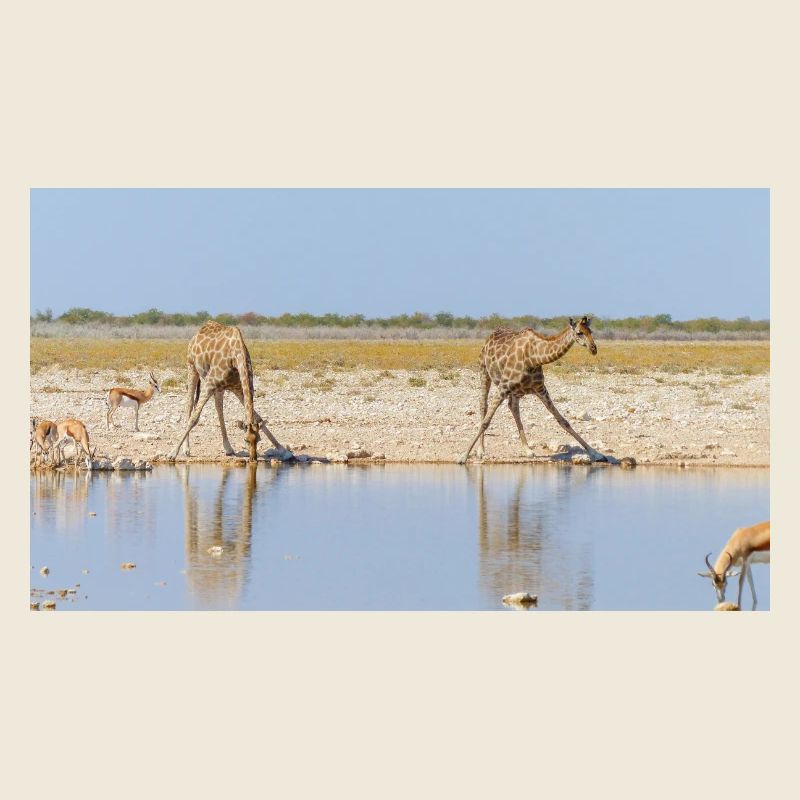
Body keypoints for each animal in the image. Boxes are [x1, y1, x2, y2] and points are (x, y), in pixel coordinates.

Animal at [167, 321, 286, 462]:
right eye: (245, 440)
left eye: (258, 440)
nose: (253, 459)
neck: (236, 356)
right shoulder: (209, 383)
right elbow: (194, 418)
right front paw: (172, 453)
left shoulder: (238, 388)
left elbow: (257, 417)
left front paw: (283, 449)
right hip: (192, 367)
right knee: (189, 405)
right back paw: (186, 449)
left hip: (220, 387)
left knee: (219, 408)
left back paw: (228, 448)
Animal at [458, 316, 608, 464]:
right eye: (579, 332)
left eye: (591, 331)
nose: (593, 349)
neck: (534, 357)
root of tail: (491, 336)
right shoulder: (503, 387)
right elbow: (486, 422)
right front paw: (463, 456)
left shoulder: (541, 389)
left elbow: (563, 421)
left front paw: (596, 453)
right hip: (484, 372)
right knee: (483, 405)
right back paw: (481, 450)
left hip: (516, 391)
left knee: (513, 407)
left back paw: (527, 450)